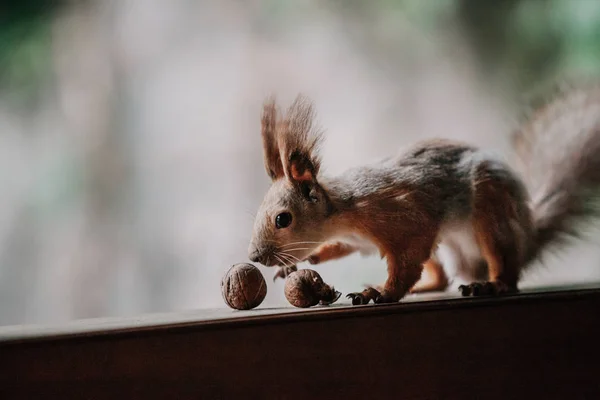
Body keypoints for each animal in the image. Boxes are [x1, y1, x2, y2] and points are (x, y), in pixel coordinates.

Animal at [246, 86, 600, 306]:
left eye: (283, 219)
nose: (255, 256)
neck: (343, 215)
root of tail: (527, 236)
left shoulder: (402, 218)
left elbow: (406, 261)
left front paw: (383, 292)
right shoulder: (354, 240)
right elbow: (337, 248)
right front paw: (305, 260)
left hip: (491, 213)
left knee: (505, 267)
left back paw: (491, 283)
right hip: (448, 246)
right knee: (442, 276)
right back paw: (427, 287)